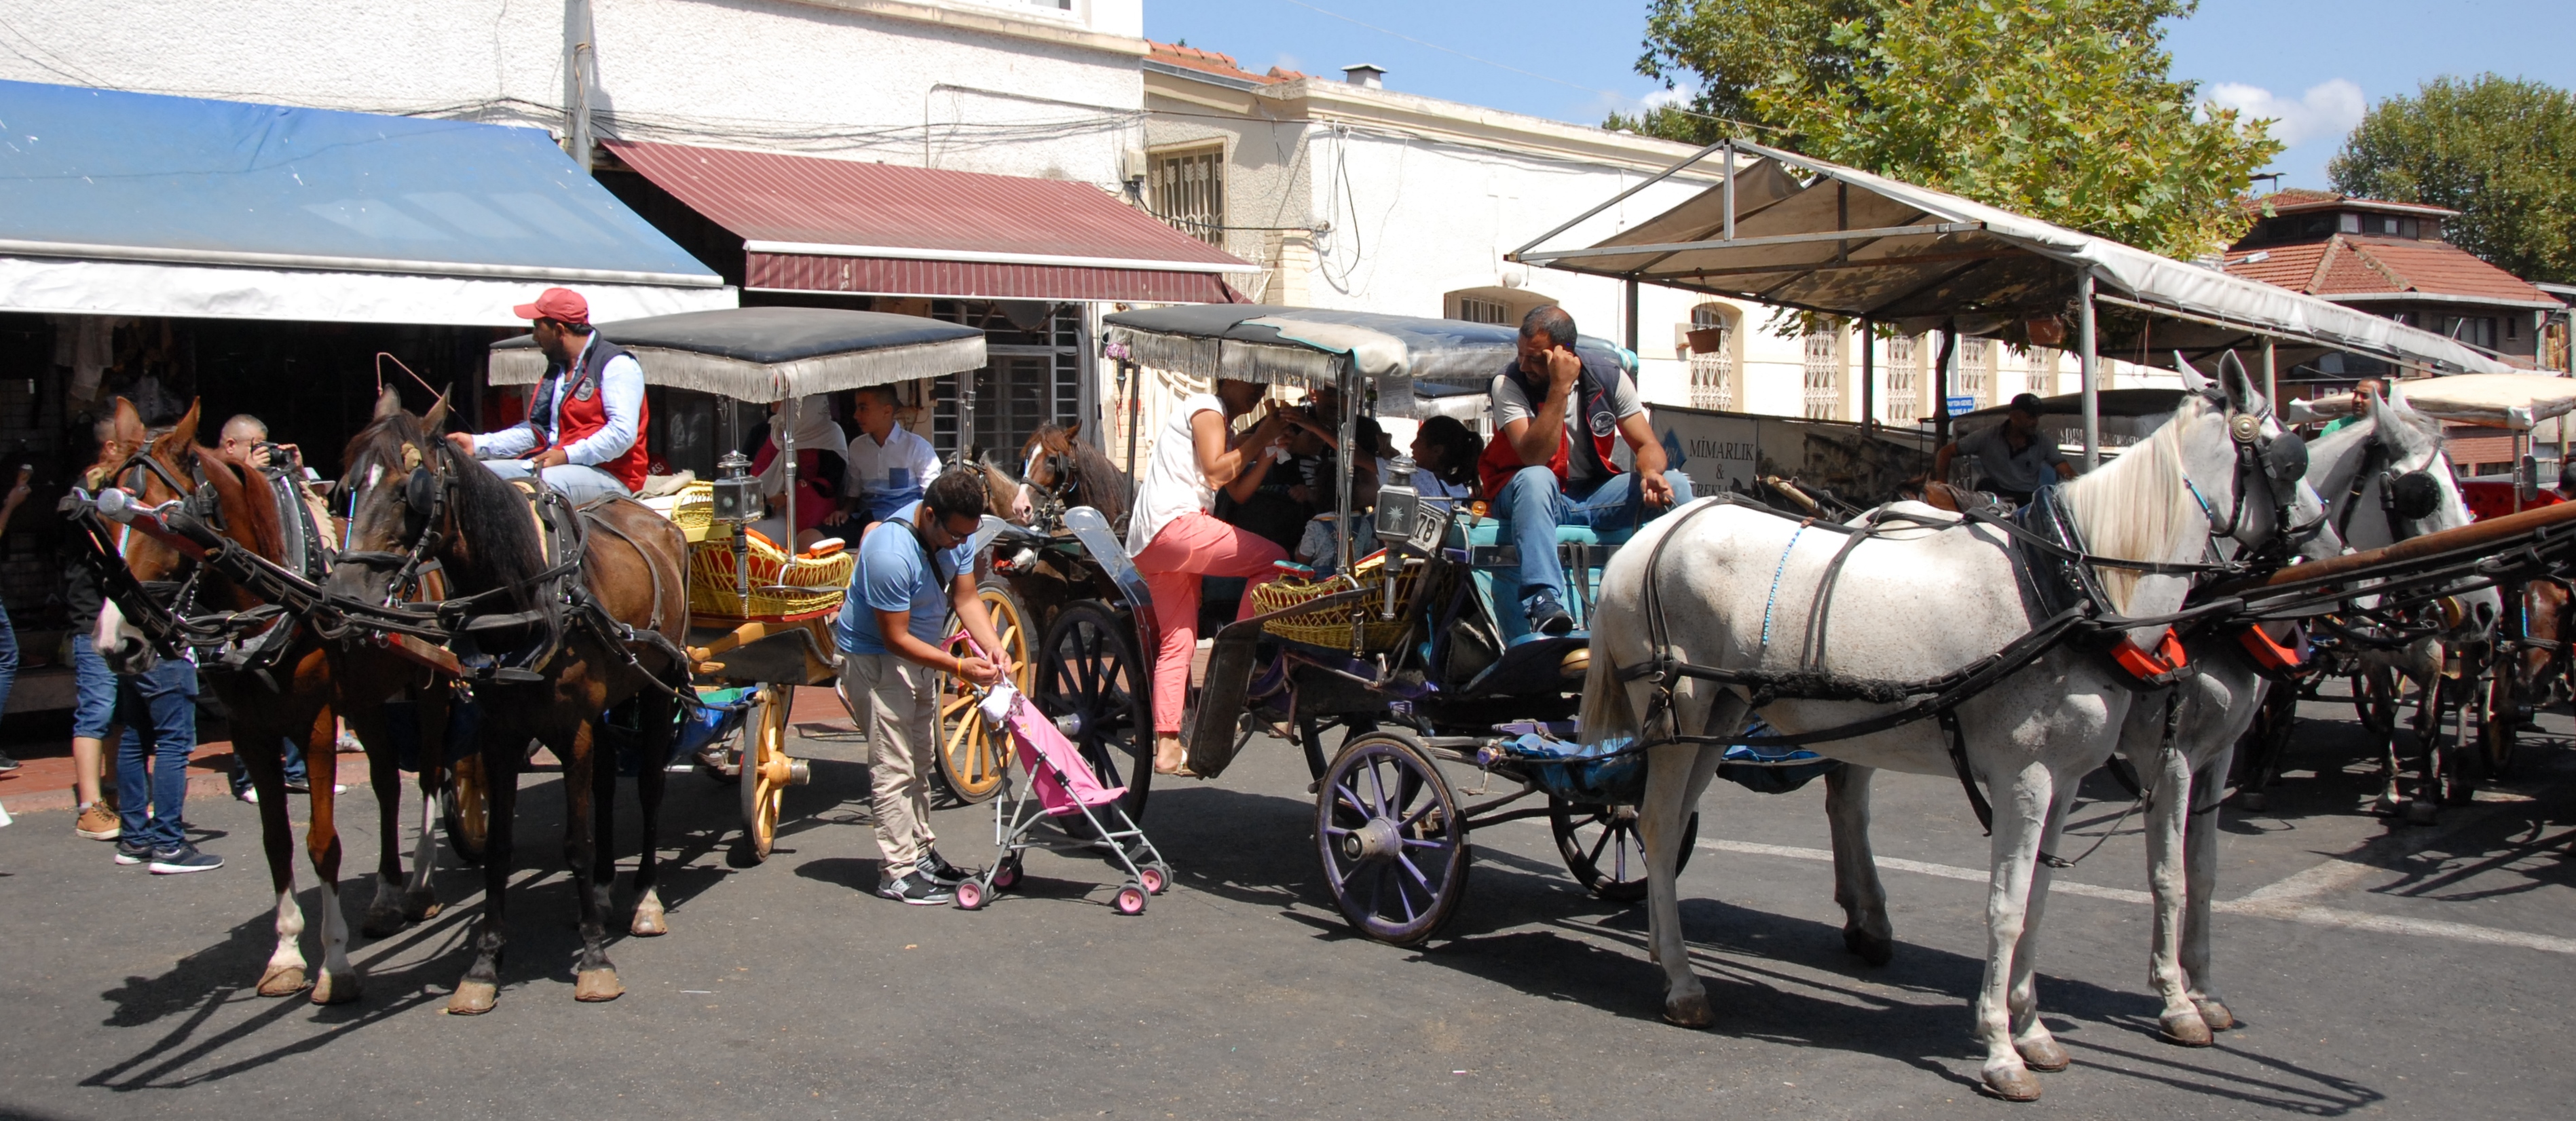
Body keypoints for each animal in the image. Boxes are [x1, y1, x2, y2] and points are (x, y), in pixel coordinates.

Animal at [88, 399, 453, 1005]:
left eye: (163, 520)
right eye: (101, 522)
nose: (118, 644)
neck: (271, 595)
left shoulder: (316, 723)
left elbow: (322, 843)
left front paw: (334, 965)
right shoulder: (250, 730)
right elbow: (277, 842)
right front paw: (284, 956)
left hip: (432, 684)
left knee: (427, 773)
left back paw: (421, 885)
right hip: (367, 696)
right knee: (385, 782)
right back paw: (385, 897)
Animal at [332, 394, 695, 1020]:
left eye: (411, 490)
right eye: (347, 487)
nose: (348, 594)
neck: (524, 598)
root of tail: (657, 521)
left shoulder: (572, 727)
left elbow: (575, 843)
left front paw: (595, 960)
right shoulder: (501, 731)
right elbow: (501, 849)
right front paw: (483, 966)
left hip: (657, 683)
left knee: (649, 784)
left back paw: (645, 897)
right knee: (605, 781)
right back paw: (605, 889)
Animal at [1576, 363, 2328, 1108]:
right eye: (2292, 459)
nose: (2326, 539)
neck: (2066, 590)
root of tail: (1647, 540)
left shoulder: (2069, 779)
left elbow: (2042, 899)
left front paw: (2034, 1030)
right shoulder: (2035, 774)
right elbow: (2011, 905)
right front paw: (2002, 1049)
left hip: (1718, 716)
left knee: (1680, 821)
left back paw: (1674, 949)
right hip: (1681, 712)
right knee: (1660, 826)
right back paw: (1682, 981)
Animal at [2112, 389, 2473, 1051]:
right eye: (2422, 494)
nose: (2482, 607)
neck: (2210, 612)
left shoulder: (2215, 756)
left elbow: (2203, 870)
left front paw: (2205, 991)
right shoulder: (2166, 759)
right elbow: (2168, 875)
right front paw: (2174, 1001)